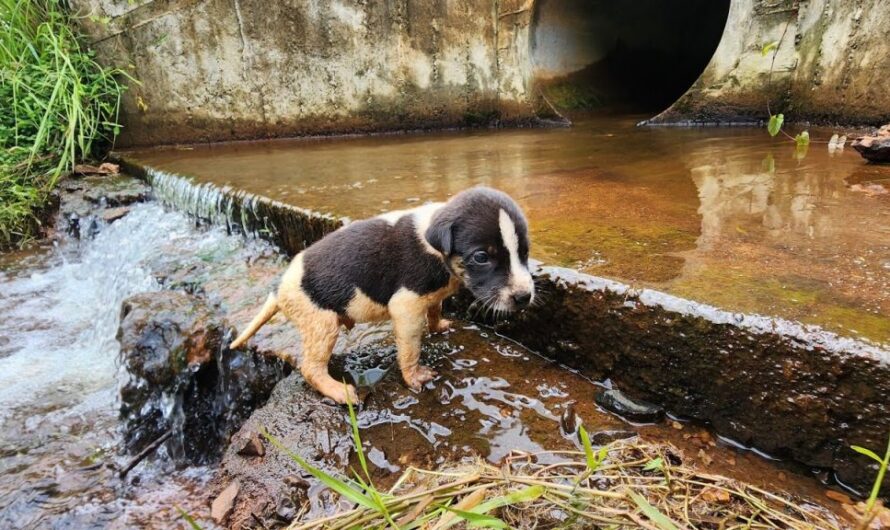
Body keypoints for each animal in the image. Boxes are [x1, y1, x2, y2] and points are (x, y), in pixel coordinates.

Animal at [231, 185, 536, 400]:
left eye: (524, 252)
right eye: (482, 257)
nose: (524, 298)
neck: (437, 250)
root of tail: (278, 290)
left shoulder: (430, 295)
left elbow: (436, 307)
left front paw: (439, 325)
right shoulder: (406, 307)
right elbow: (410, 348)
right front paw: (414, 377)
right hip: (320, 324)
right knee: (311, 368)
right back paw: (338, 391)